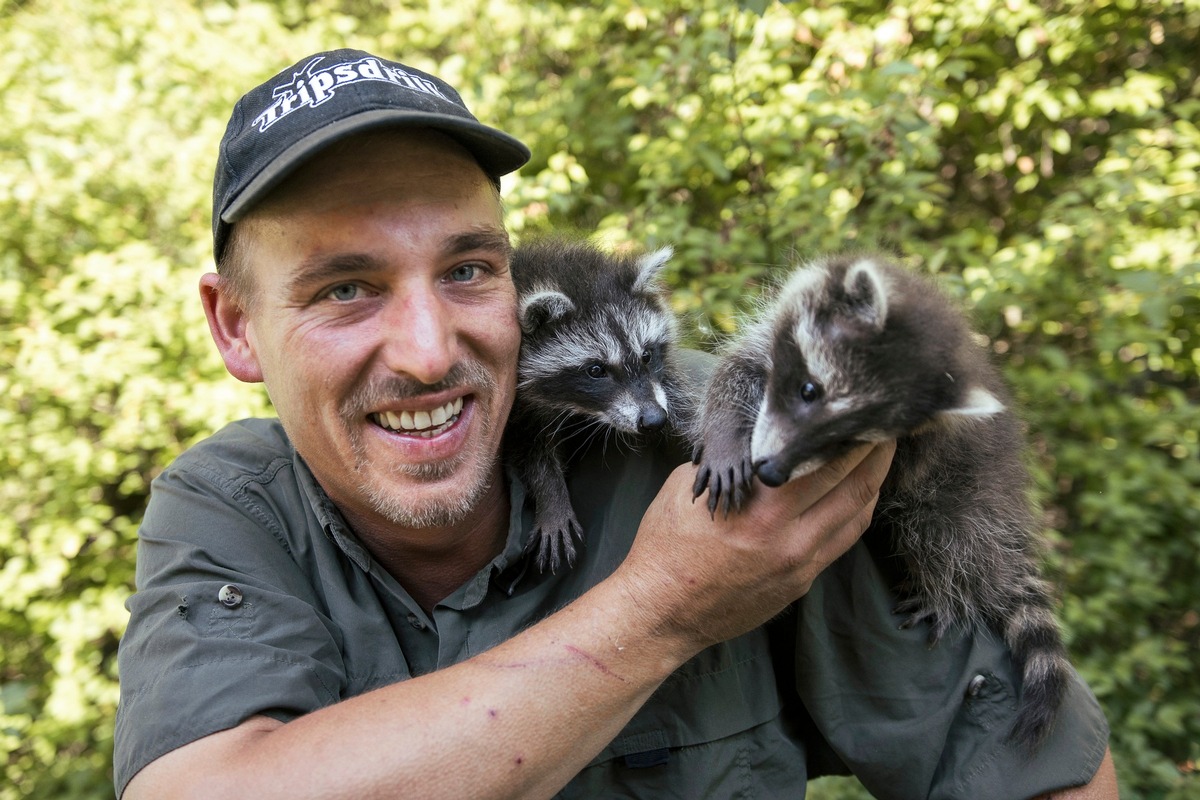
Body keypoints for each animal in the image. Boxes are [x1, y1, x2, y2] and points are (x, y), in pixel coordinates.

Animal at [506, 237, 696, 575]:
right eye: (596, 370)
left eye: (647, 355)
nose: (654, 420)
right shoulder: (518, 410)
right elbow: (531, 449)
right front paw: (551, 496)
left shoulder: (656, 384)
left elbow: (674, 395)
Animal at [696, 251, 1070, 753]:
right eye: (809, 390)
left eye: (851, 438)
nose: (772, 472)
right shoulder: (769, 332)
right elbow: (732, 372)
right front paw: (724, 436)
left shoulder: (926, 448)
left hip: (972, 494)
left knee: (941, 530)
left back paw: (947, 585)